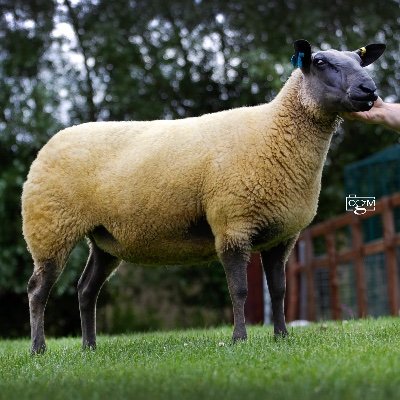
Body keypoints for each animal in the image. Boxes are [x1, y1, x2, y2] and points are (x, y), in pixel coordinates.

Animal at [21, 39, 384, 354]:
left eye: (359, 59)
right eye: (320, 63)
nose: (370, 90)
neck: (274, 133)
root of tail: (50, 143)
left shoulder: (282, 236)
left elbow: (279, 290)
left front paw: (281, 337)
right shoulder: (232, 225)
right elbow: (239, 290)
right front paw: (240, 340)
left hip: (104, 239)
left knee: (86, 290)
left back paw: (89, 347)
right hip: (50, 227)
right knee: (37, 289)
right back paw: (39, 349)